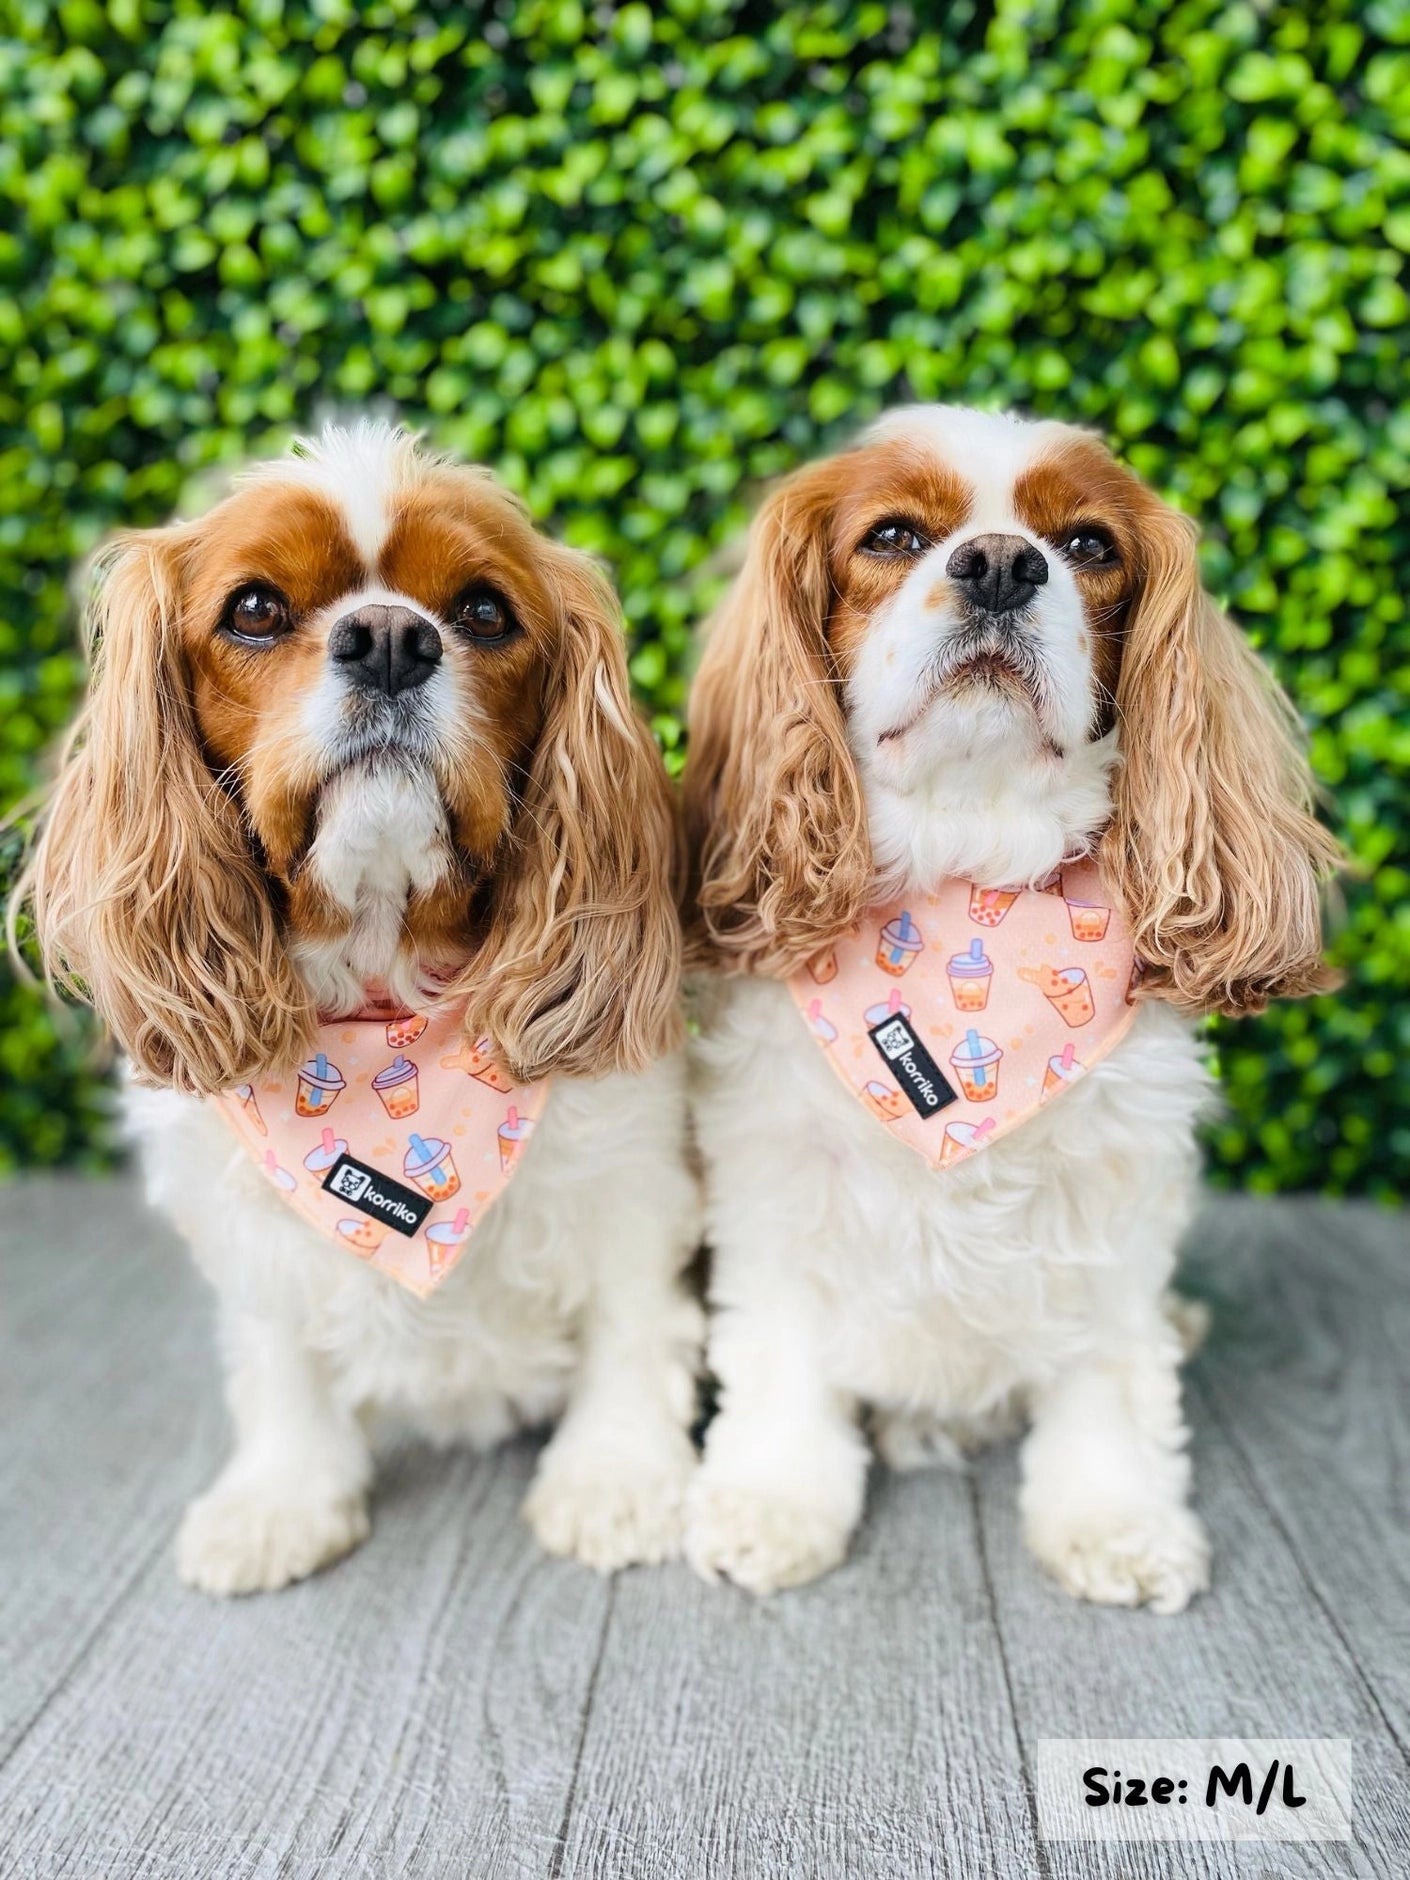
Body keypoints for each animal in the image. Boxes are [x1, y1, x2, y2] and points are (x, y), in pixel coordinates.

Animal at [22, 423, 706, 1586]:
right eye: (254, 608)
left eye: (484, 611)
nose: (389, 638)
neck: (388, 1000)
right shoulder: (248, 1222)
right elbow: (277, 1348)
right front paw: (283, 1494)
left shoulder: (633, 1181)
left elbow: (630, 1323)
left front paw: (616, 1477)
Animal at [680, 404, 1338, 1609]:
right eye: (894, 536)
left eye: (1087, 546)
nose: (997, 563)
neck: (966, 877)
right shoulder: (779, 1181)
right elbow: (784, 1354)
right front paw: (771, 1501)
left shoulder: (1118, 1193)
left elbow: (1112, 1369)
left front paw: (1116, 1516)